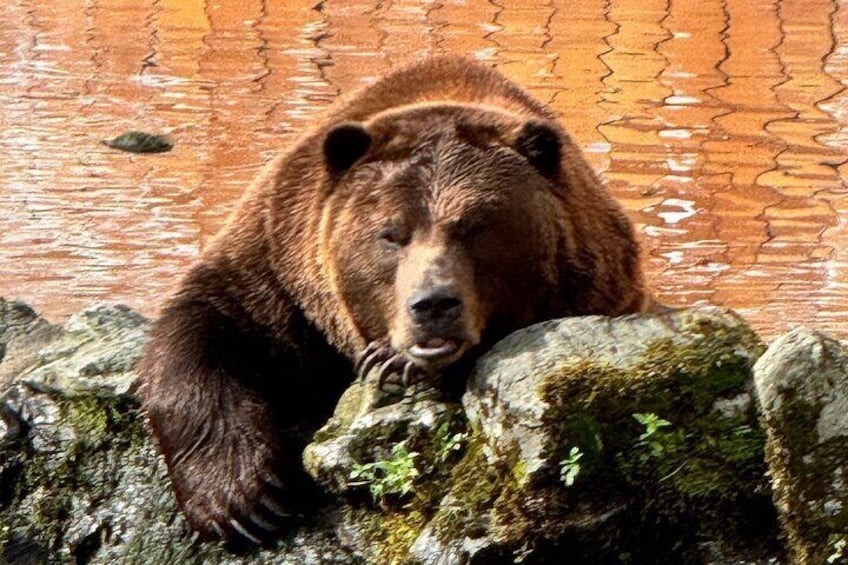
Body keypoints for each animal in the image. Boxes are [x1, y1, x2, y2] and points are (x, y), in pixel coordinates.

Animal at [138, 54, 648, 545]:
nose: (433, 304)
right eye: (391, 233)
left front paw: (391, 360)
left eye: (476, 227)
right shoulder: (279, 268)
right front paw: (245, 501)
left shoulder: (597, 282)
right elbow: (202, 326)